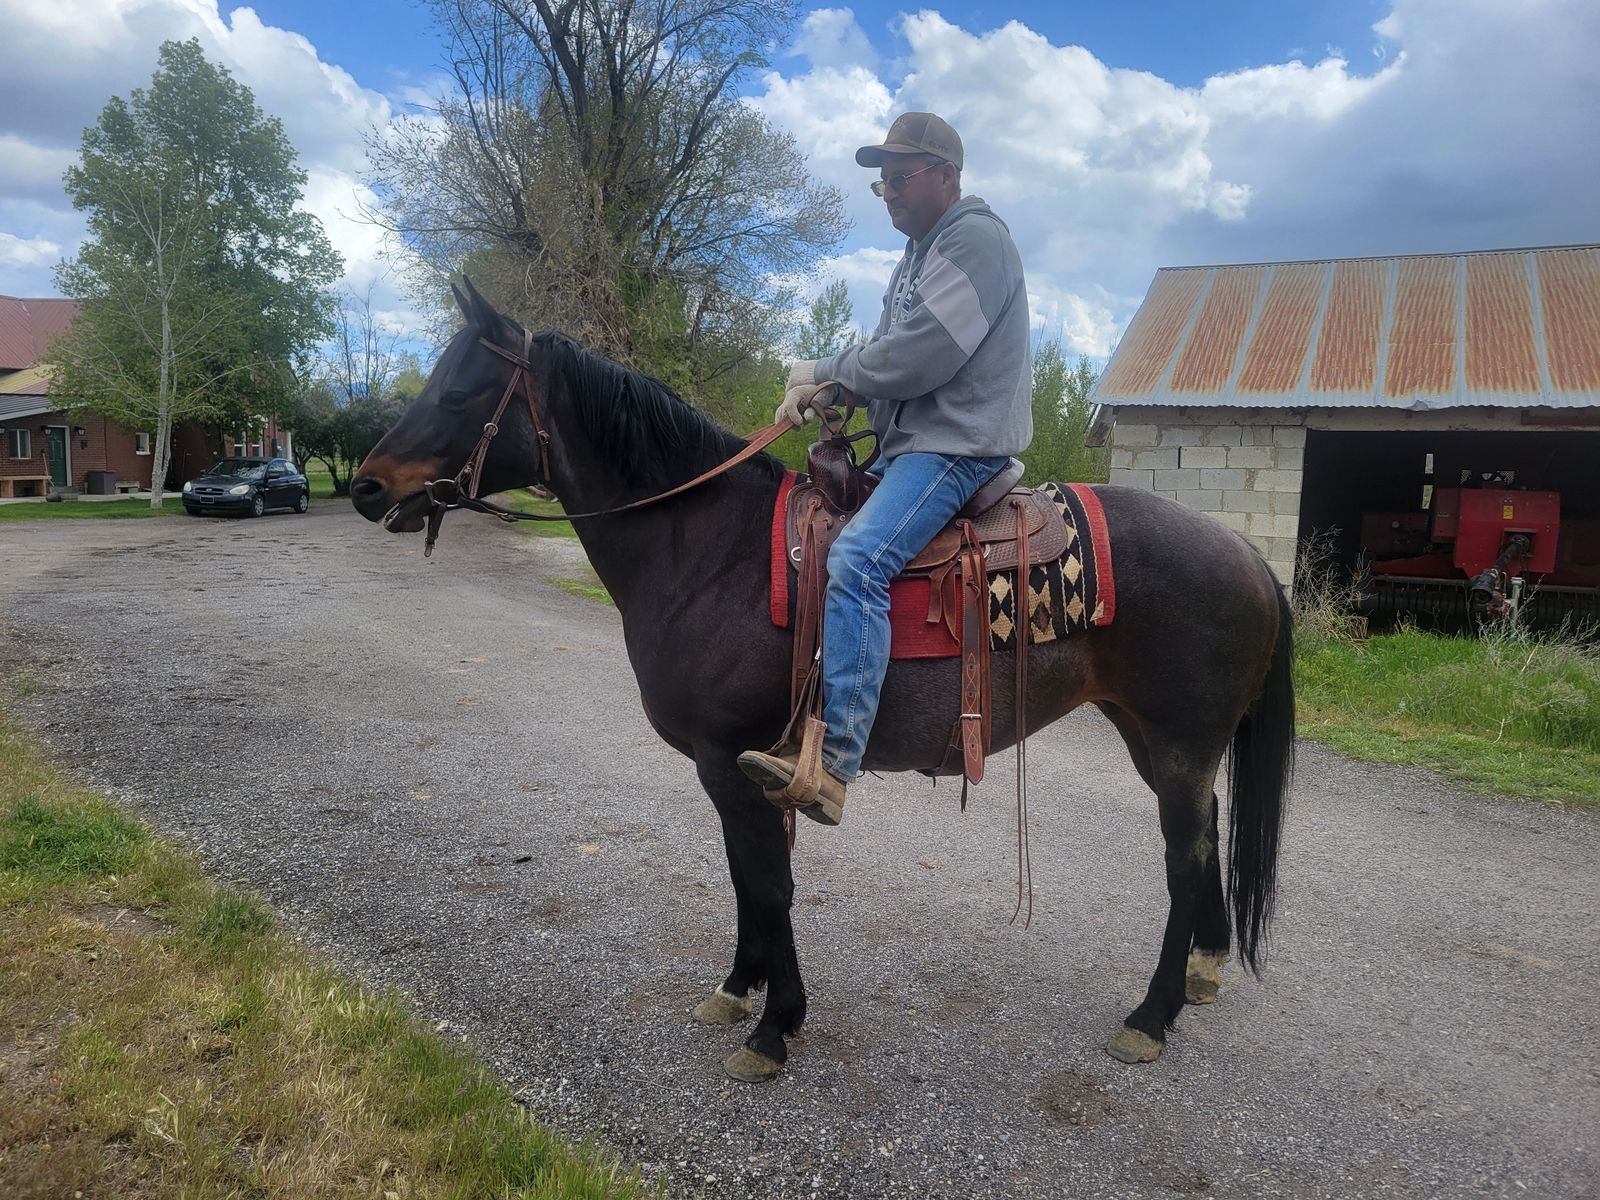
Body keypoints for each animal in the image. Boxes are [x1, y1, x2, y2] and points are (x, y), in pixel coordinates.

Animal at [350, 277, 1294, 1082]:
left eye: (461, 392)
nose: (365, 486)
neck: (707, 549)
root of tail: (1247, 555)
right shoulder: (730, 771)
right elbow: (745, 879)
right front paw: (739, 990)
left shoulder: (732, 760)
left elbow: (770, 884)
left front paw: (777, 1025)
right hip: (1152, 737)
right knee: (1206, 836)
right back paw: (1203, 972)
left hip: (1177, 742)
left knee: (1183, 860)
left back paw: (1152, 1015)